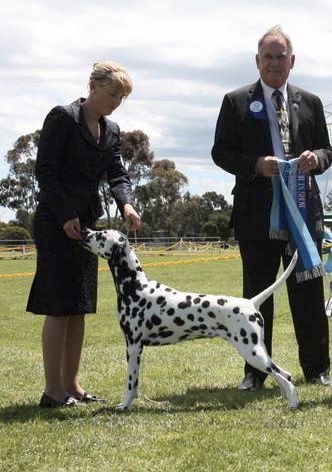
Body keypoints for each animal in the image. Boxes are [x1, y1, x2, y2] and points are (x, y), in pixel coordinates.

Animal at [81, 228, 300, 410]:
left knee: (285, 376)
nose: (84, 230)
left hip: (251, 352)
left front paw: (124, 405)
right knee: (284, 375)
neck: (134, 287)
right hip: (257, 350)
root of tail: (251, 303)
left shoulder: (133, 345)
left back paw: (293, 404)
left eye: (100, 235)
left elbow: (131, 383)